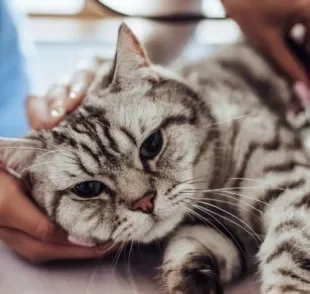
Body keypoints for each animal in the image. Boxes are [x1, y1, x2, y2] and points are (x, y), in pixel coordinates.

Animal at [0, 23, 310, 294]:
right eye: (88, 189)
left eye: (152, 144)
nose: (145, 202)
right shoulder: (209, 231)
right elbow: (187, 255)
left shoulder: (290, 187)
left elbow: (290, 252)